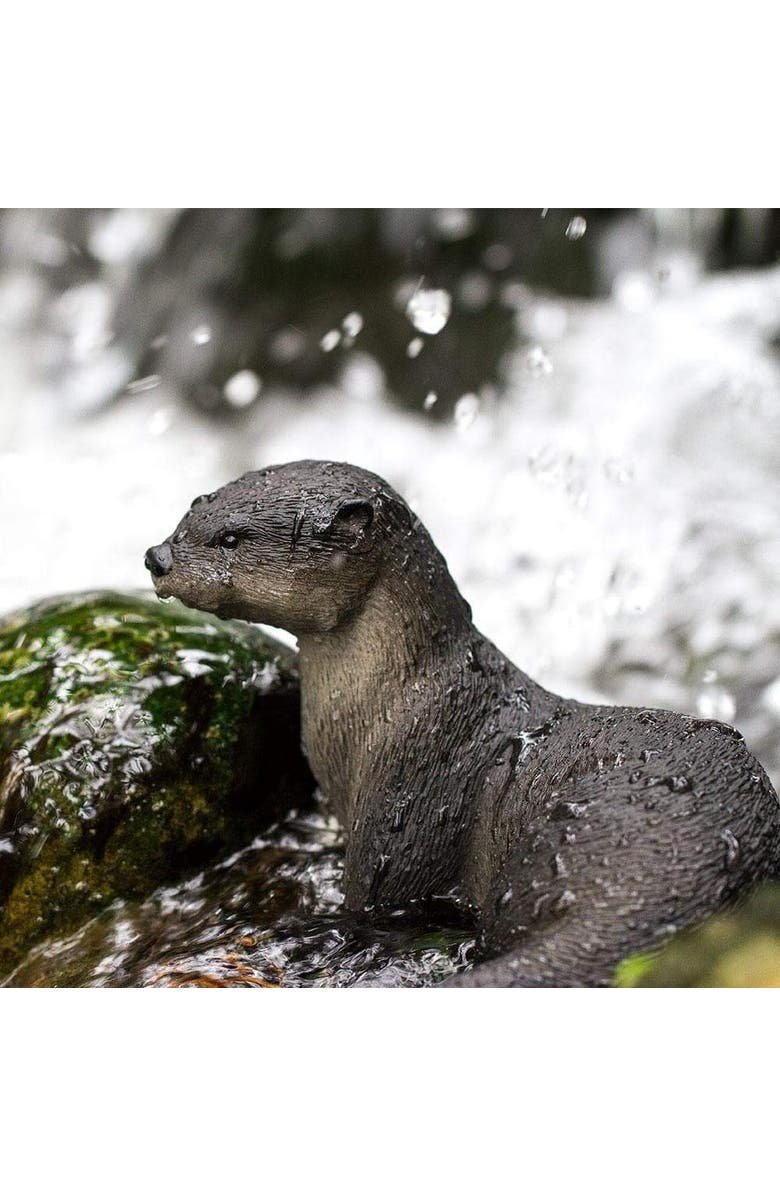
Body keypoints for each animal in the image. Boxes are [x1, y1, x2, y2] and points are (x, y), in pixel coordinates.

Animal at [145, 460, 780, 986]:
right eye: (192, 512)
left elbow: (375, 898)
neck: (400, 702)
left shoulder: (410, 790)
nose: (157, 556)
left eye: (231, 539)